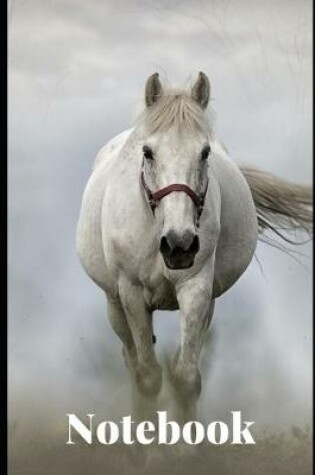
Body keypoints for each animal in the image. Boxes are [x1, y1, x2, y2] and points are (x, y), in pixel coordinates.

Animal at [76, 71, 314, 424]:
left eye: (204, 153)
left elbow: (186, 376)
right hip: (114, 304)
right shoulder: (131, 293)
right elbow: (148, 375)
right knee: (132, 359)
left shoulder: (197, 287)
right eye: (148, 152)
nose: (179, 244)